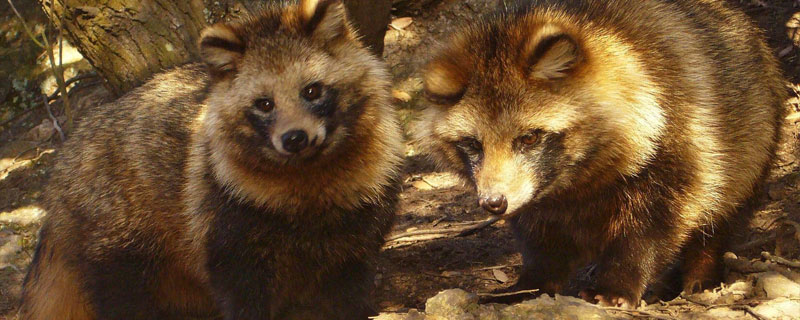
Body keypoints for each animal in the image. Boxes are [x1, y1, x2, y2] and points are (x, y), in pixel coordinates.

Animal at [20, 0, 406, 318]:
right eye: (264, 104)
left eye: (312, 90)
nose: (295, 139)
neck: (308, 171)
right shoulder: (224, 216)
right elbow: (241, 294)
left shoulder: (362, 219)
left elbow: (347, 289)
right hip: (113, 228)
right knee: (123, 297)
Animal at [416, 0, 784, 308]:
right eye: (473, 144)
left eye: (529, 138)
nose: (494, 203)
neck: (575, 180)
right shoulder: (533, 192)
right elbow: (540, 234)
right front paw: (532, 281)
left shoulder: (680, 139)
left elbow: (654, 224)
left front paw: (620, 278)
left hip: (751, 139)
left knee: (721, 211)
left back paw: (702, 269)